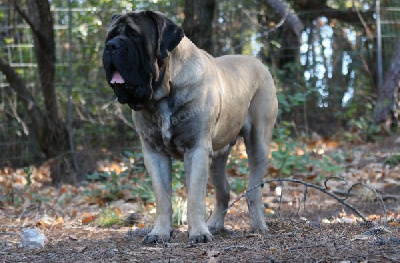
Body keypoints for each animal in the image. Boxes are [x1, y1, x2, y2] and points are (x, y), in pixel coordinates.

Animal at [103, 10, 278, 245]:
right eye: (110, 36)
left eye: (135, 36)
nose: (111, 46)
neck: (163, 95)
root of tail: (257, 62)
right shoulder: (154, 153)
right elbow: (162, 198)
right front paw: (159, 232)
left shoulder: (197, 150)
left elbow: (195, 196)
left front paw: (198, 233)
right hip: (218, 156)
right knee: (223, 191)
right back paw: (214, 225)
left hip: (258, 142)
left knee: (253, 190)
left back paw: (257, 225)